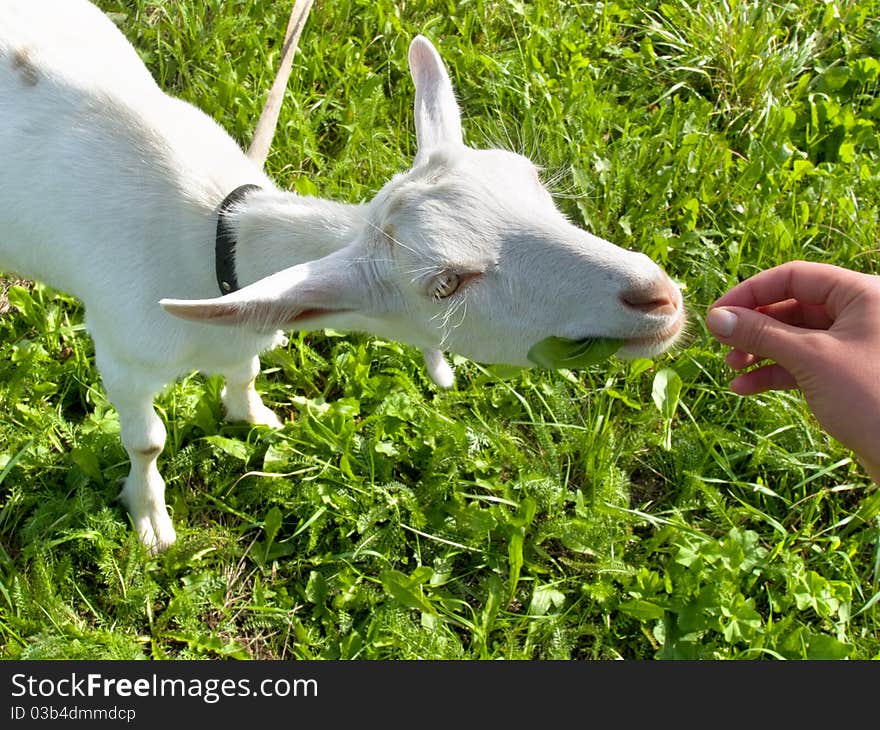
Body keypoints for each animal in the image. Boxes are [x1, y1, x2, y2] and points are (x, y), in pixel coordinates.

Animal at [0, 0, 684, 548]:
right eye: (445, 284)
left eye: (534, 182)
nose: (660, 298)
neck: (214, 236)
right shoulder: (123, 356)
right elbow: (147, 441)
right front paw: (149, 520)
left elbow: (246, 370)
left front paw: (254, 417)